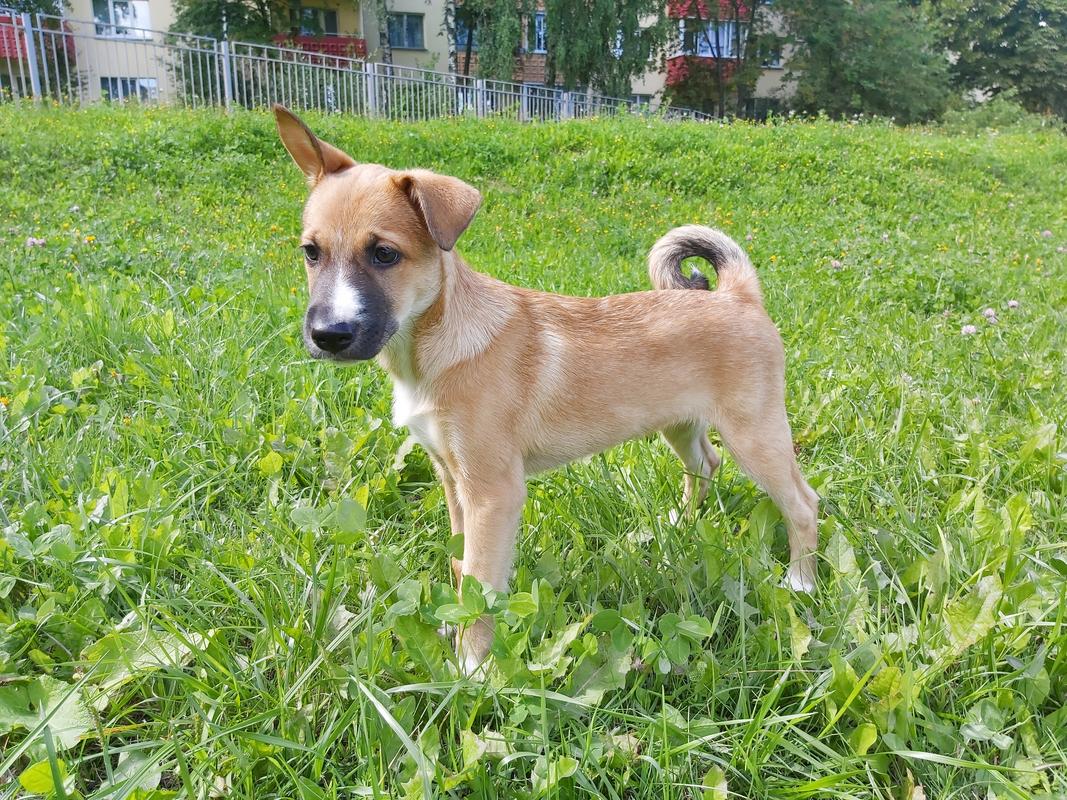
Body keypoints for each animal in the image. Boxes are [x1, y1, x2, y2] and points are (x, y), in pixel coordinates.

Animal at [272, 105, 819, 673]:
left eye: (384, 254)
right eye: (310, 253)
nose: (327, 336)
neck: (431, 347)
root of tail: (738, 296)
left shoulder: (493, 492)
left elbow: (482, 582)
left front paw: (472, 667)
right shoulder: (453, 480)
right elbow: (460, 566)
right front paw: (451, 628)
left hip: (755, 434)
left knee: (804, 502)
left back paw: (800, 583)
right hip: (680, 425)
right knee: (705, 465)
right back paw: (684, 527)